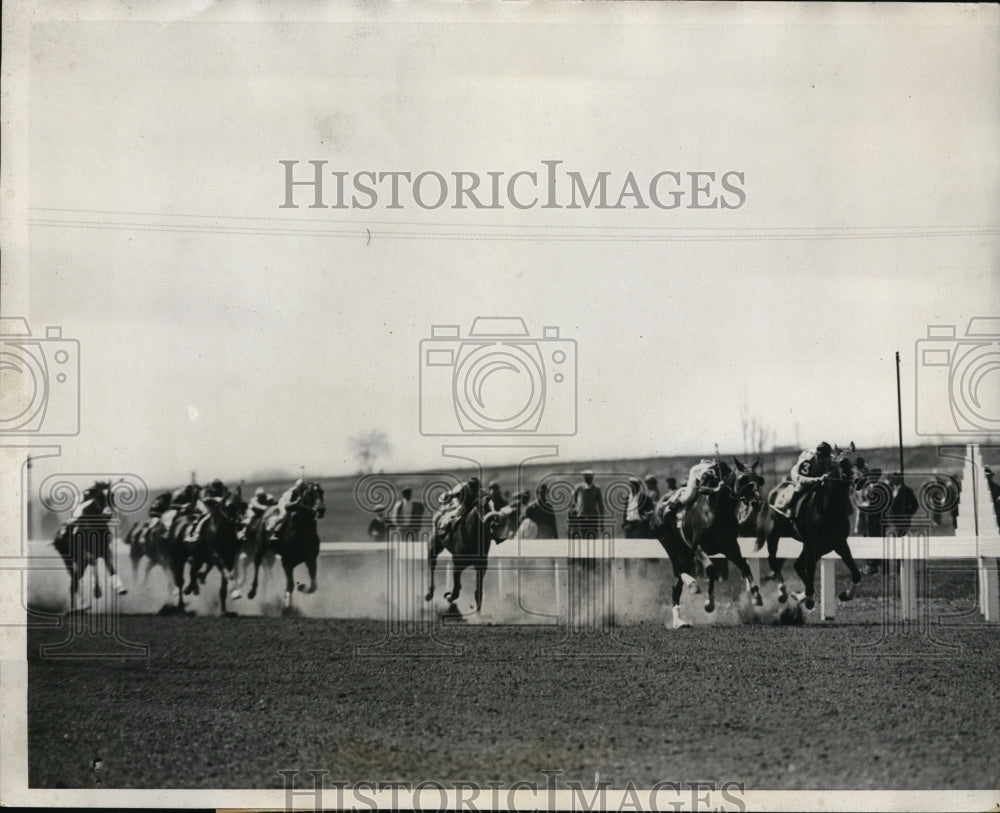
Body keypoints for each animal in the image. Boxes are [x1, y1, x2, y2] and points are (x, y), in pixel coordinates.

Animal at [656, 456, 764, 628]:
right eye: (742, 479)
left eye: (760, 480)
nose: (757, 502)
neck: (717, 511)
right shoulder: (698, 547)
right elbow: (711, 569)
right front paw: (709, 603)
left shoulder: (730, 547)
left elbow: (745, 566)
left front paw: (756, 597)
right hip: (671, 546)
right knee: (677, 570)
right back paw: (692, 585)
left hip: (685, 554)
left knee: (676, 584)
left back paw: (679, 621)